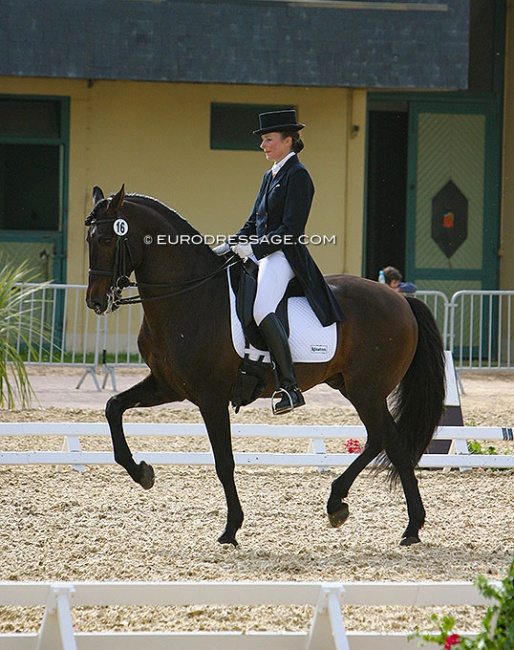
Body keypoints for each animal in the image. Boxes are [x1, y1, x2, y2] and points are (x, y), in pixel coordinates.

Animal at [84, 184, 444, 548]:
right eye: (88, 239)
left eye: (106, 239)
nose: (95, 302)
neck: (190, 296)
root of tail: (401, 300)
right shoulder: (168, 385)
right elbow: (113, 407)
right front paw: (142, 472)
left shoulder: (211, 397)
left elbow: (224, 462)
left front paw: (231, 529)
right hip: (352, 386)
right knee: (392, 441)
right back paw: (408, 526)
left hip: (366, 390)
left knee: (380, 438)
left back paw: (343, 504)